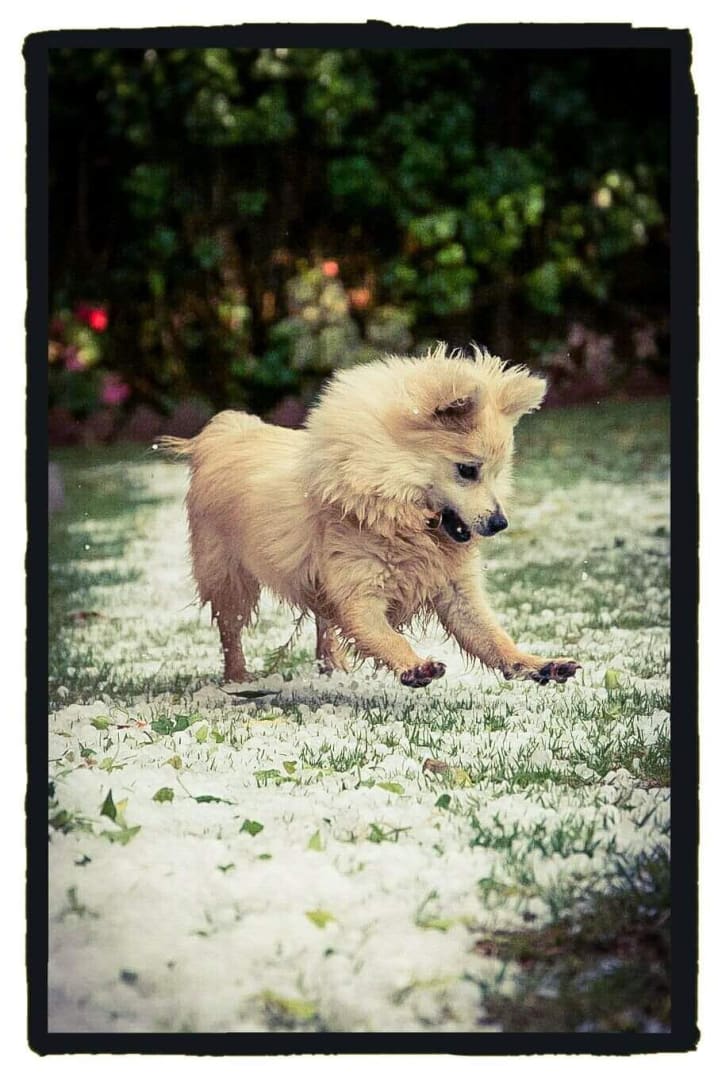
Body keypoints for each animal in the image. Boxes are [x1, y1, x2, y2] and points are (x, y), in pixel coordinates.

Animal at [159, 344, 579, 689]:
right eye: (467, 470)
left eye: (497, 473)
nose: (500, 523)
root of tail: (221, 435)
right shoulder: (360, 596)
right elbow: (385, 636)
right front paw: (413, 666)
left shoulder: (456, 593)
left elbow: (494, 638)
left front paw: (538, 664)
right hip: (228, 578)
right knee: (231, 631)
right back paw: (238, 680)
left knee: (323, 623)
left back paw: (332, 666)